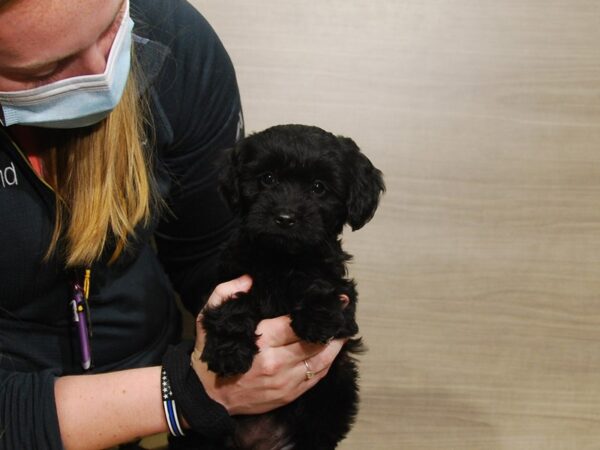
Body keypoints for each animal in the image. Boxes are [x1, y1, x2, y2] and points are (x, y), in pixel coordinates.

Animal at [200, 124, 384, 450]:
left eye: (319, 187)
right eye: (267, 178)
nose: (285, 218)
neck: (282, 258)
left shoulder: (343, 299)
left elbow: (317, 282)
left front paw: (316, 317)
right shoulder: (226, 278)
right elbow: (234, 304)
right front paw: (228, 350)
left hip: (336, 389)